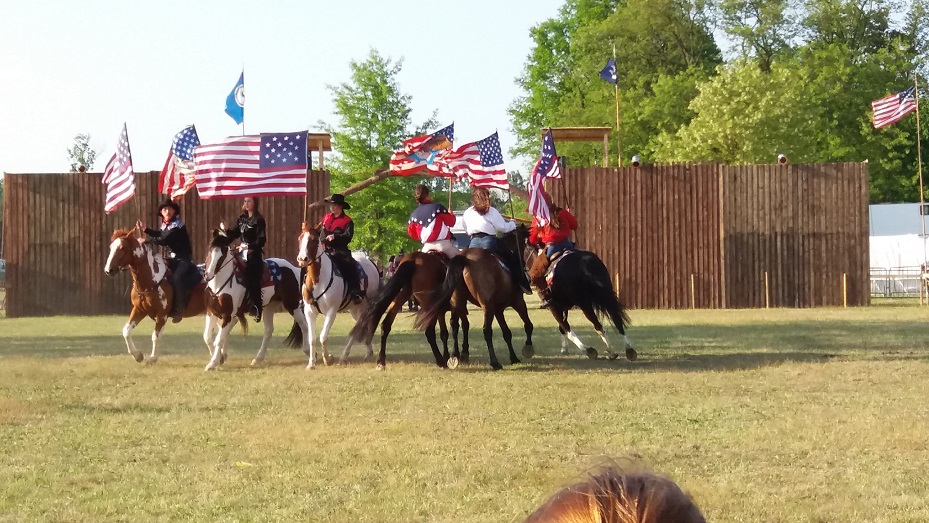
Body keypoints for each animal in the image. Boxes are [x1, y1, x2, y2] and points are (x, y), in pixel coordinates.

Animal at [103, 228, 210, 364]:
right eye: (111, 247)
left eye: (122, 247)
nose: (108, 270)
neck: (152, 279)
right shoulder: (139, 310)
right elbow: (126, 331)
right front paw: (138, 355)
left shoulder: (162, 315)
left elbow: (155, 336)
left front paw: (152, 358)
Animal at [202, 228, 309, 371]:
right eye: (210, 250)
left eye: (222, 254)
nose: (207, 274)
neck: (220, 283)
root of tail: (293, 268)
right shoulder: (211, 312)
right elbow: (208, 337)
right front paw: (219, 358)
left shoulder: (228, 315)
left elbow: (218, 339)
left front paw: (212, 363)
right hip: (270, 306)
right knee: (269, 330)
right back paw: (258, 358)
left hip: (292, 304)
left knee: (304, 324)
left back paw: (309, 351)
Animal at [295, 225, 381, 369]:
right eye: (300, 238)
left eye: (313, 239)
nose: (302, 259)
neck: (318, 279)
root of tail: (371, 263)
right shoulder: (309, 311)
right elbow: (312, 338)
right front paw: (311, 364)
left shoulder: (332, 311)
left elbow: (323, 337)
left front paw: (328, 358)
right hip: (354, 309)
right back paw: (368, 352)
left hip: (364, 306)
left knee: (359, 327)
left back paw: (344, 356)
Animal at [414, 231, 535, 371]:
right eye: (530, 246)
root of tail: (465, 258)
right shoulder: (518, 302)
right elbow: (528, 325)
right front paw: (527, 348)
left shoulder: (498, 309)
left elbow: (507, 333)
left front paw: (514, 358)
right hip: (485, 306)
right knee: (486, 330)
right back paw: (494, 362)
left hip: (457, 304)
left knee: (453, 326)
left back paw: (453, 357)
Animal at [515, 226, 636, 361]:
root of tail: (585, 263)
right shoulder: (562, 306)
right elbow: (562, 328)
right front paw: (564, 348)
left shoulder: (553, 307)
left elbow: (566, 328)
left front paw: (588, 350)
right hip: (606, 296)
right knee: (616, 320)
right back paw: (628, 349)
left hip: (584, 303)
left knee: (598, 326)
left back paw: (611, 351)